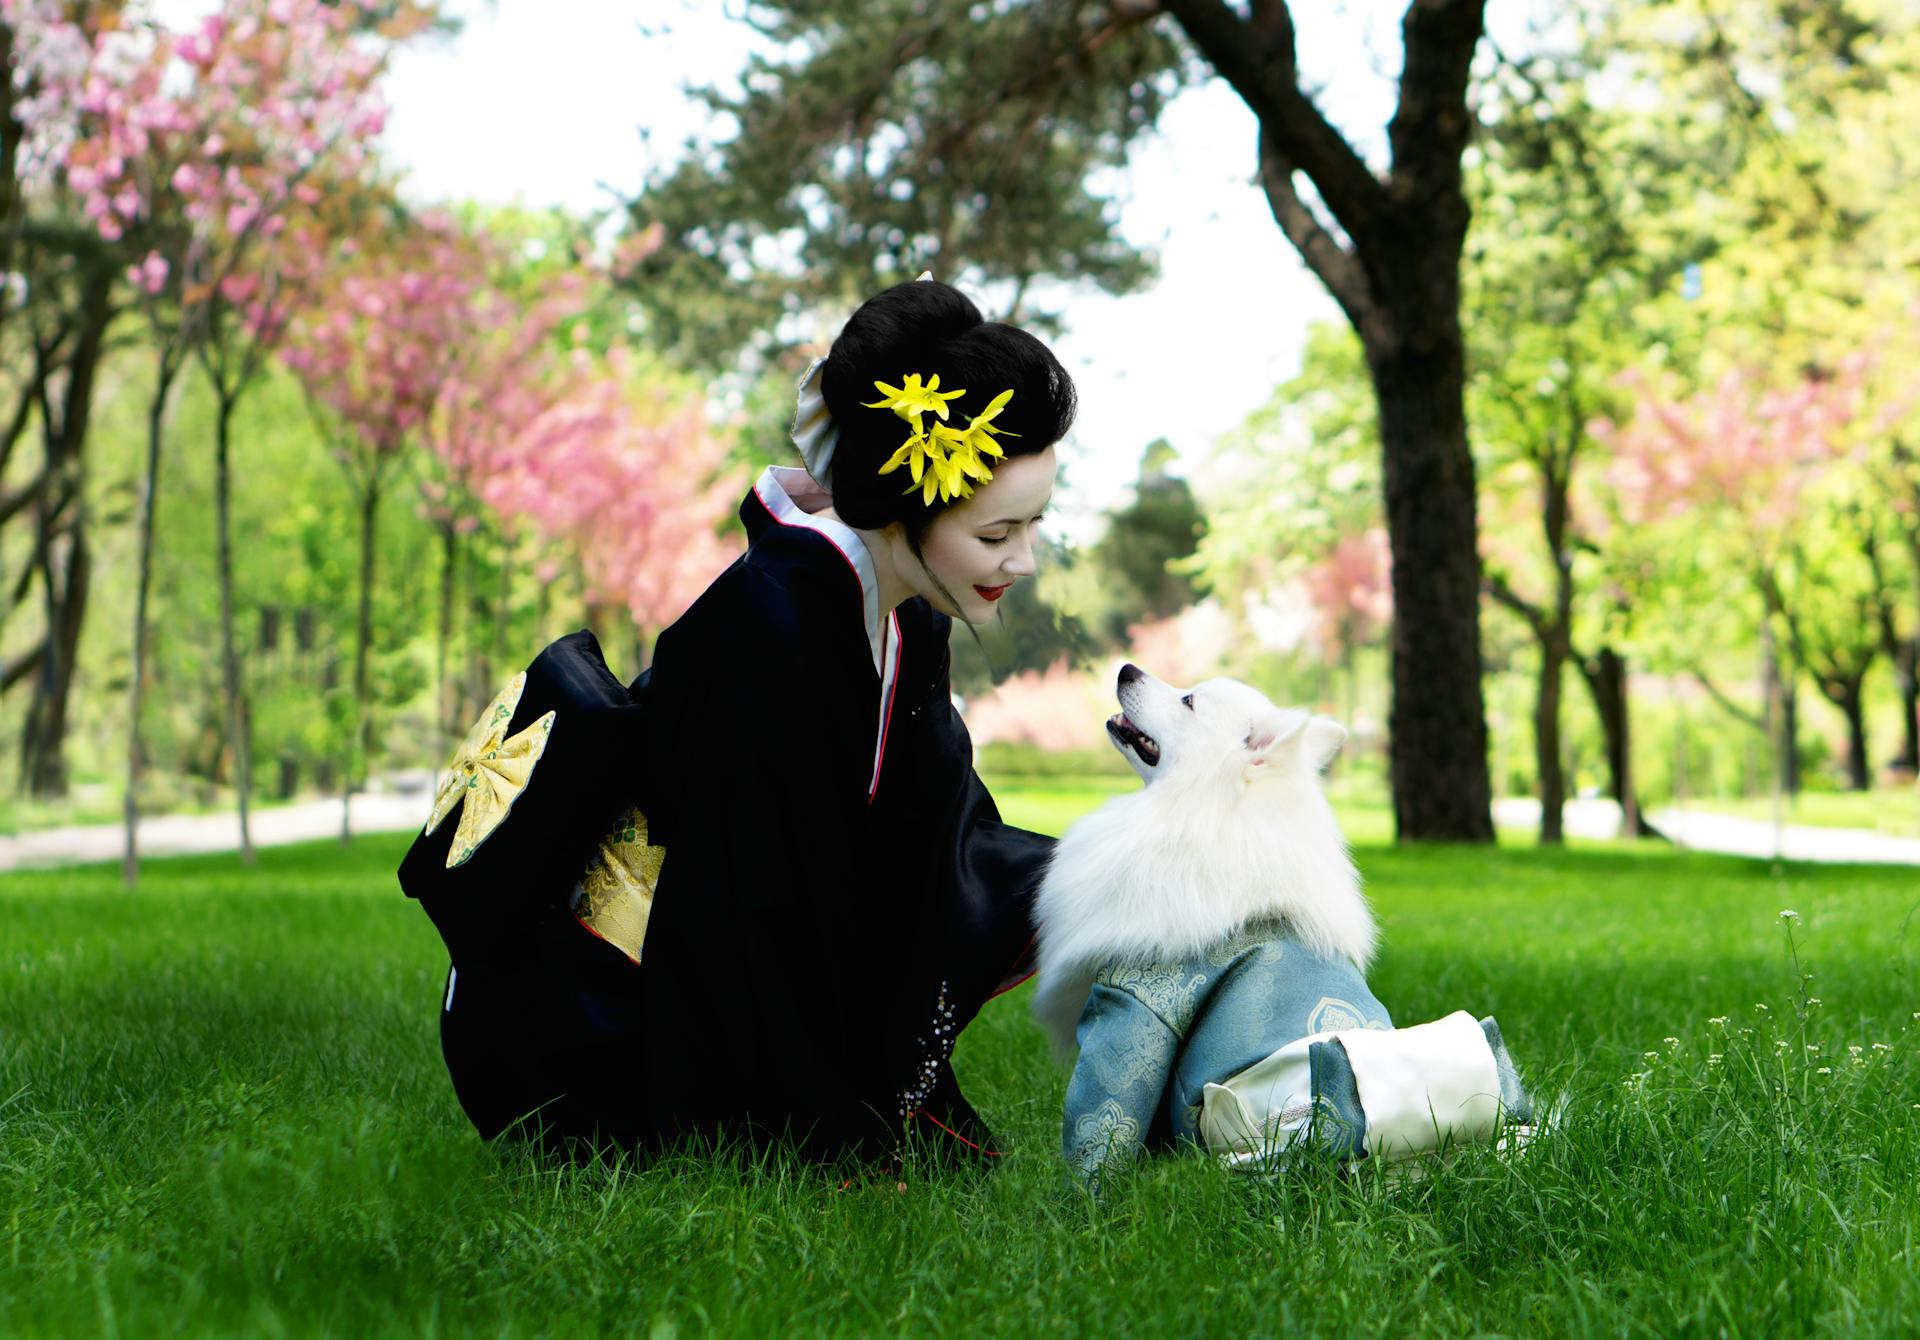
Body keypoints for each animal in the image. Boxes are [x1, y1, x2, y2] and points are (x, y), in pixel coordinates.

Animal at [1036, 664, 1528, 1182]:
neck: (1199, 809)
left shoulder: (1139, 1001)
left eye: (1189, 700)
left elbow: (1106, 1107)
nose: (1126, 669)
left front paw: (1085, 1190)